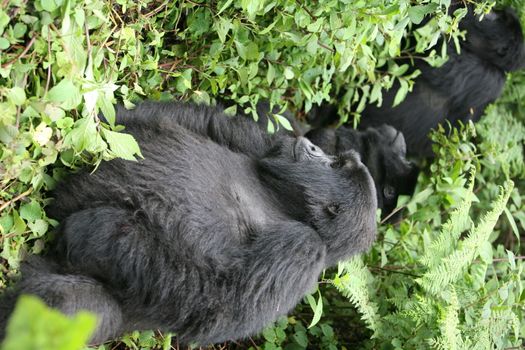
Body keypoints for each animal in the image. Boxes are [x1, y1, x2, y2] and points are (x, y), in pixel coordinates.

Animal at [0, 100, 376, 344]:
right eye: (336, 160)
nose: (312, 145)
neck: (286, 203)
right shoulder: (265, 144)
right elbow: (200, 121)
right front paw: (108, 116)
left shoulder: (303, 253)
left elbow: (215, 300)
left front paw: (94, 230)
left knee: (64, 307)